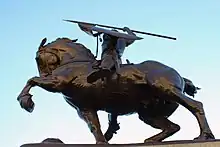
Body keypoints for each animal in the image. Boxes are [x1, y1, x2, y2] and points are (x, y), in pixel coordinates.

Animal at [17, 37, 215, 144]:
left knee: (196, 106)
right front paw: (104, 140)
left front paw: (26, 101)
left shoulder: (57, 83)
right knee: (173, 126)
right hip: (148, 114)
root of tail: (179, 75)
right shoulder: (84, 108)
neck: (75, 62)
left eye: (37, 58)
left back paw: (204, 136)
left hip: (166, 90)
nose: (45, 72)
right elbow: (94, 127)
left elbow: (32, 80)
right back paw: (150, 140)